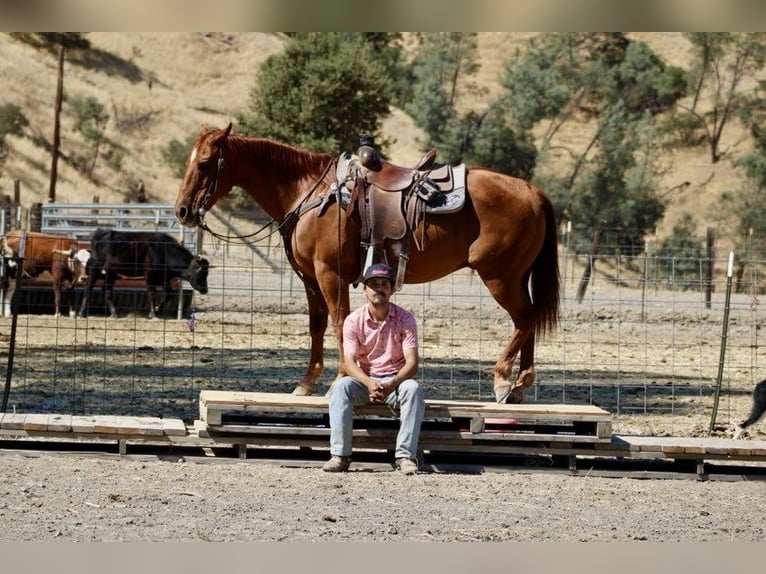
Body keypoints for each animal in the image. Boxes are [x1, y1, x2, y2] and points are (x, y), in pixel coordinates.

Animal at [79, 228, 208, 320]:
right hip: (95, 267)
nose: (205, 289)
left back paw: (114, 313)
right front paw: (153, 314)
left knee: (107, 291)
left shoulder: (164, 278)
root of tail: (100, 233)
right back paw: (82, 313)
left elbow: (169, 294)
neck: (163, 250)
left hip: (111, 272)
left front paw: (157, 310)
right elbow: (152, 294)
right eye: (201, 273)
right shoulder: (150, 276)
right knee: (89, 287)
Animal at [177, 125, 560, 404]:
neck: (313, 193)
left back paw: (503, 380)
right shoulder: (309, 277)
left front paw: (338, 381)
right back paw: (519, 386)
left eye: (205, 163)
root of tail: (533, 191)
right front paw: (306, 383)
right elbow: (317, 326)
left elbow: (338, 323)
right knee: (528, 319)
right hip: (516, 277)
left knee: (525, 318)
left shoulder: (329, 273)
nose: (182, 210)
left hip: (499, 277)